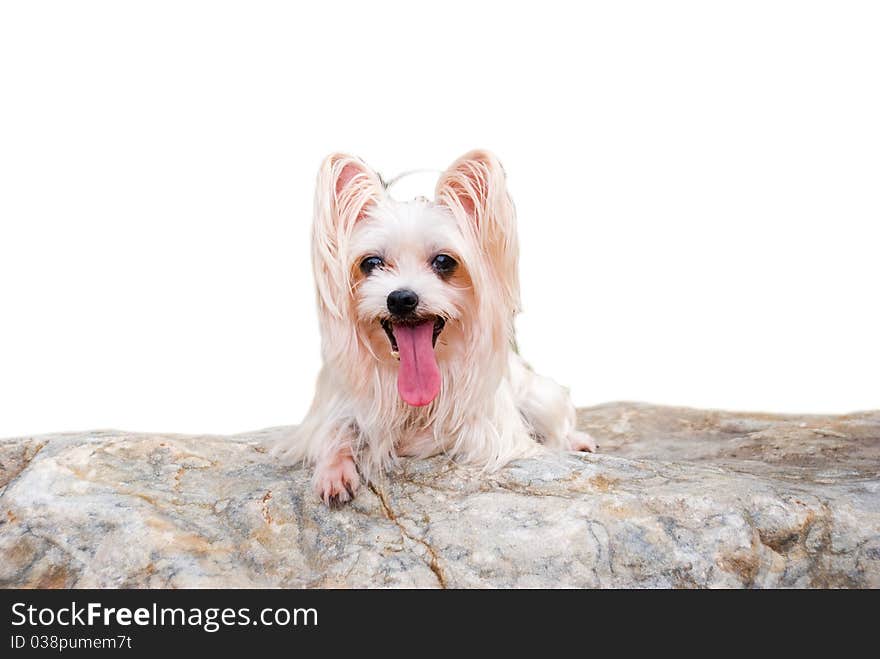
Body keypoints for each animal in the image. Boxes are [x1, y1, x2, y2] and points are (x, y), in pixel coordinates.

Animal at [276, 152, 600, 508]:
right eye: (371, 263)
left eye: (444, 262)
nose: (401, 299)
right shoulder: (334, 408)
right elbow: (336, 432)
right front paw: (334, 470)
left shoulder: (487, 433)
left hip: (541, 396)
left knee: (557, 426)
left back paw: (576, 440)